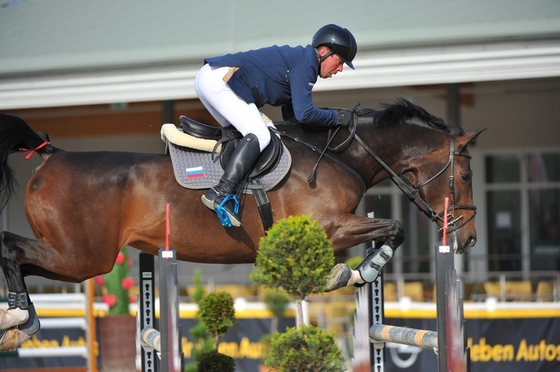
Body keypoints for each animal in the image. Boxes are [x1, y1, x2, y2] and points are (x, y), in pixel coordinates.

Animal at [0, 99, 482, 348]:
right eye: (466, 176)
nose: (470, 239)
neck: (340, 155)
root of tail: (52, 156)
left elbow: (389, 230)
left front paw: (357, 271)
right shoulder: (328, 228)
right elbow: (392, 228)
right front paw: (353, 272)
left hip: (74, 258)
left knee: (18, 254)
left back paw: (21, 317)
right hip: (83, 257)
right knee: (11, 246)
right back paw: (21, 314)